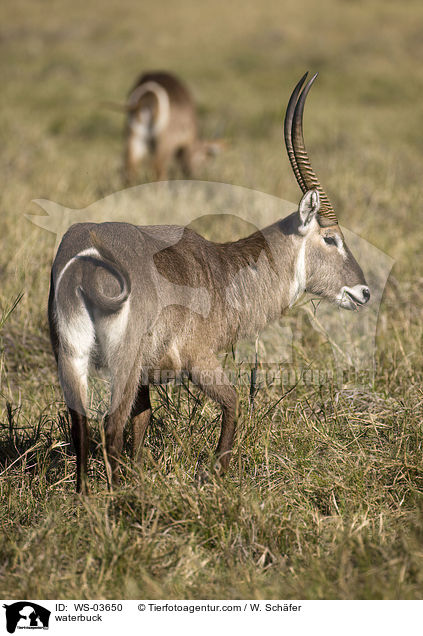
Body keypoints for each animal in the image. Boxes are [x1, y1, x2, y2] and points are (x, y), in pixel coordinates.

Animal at [48, 73, 372, 492]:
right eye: (331, 238)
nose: (363, 292)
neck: (222, 271)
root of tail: (88, 250)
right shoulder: (197, 361)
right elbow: (233, 401)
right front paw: (217, 472)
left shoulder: (146, 376)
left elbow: (143, 419)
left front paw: (143, 476)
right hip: (122, 363)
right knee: (110, 426)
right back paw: (118, 497)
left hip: (72, 358)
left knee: (82, 424)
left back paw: (85, 497)